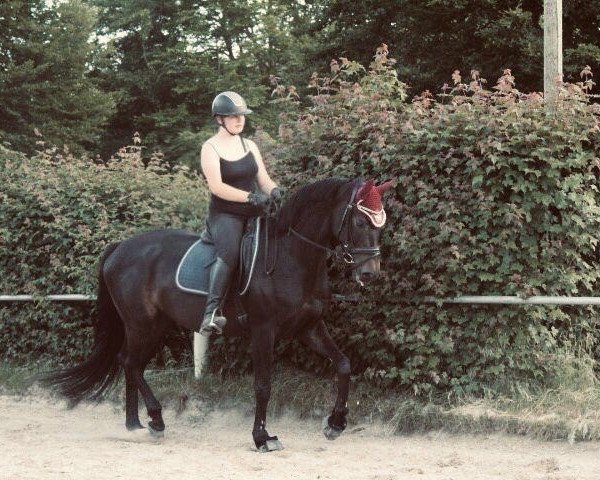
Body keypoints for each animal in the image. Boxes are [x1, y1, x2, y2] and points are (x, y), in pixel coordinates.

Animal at [41, 177, 390, 454]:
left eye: (380, 225)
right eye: (360, 223)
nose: (370, 273)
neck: (292, 257)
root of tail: (120, 248)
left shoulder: (309, 327)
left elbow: (343, 364)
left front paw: (335, 424)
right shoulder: (264, 331)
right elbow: (263, 385)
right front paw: (262, 438)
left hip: (154, 326)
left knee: (131, 364)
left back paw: (138, 425)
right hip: (143, 324)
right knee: (129, 362)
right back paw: (154, 419)